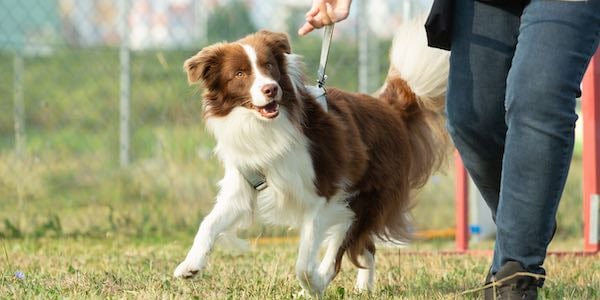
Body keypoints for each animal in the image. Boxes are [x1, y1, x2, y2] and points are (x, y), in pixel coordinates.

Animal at [173, 19, 450, 296]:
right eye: (239, 74)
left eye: (269, 66)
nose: (271, 89)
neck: (266, 126)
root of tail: (389, 108)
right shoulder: (243, 185)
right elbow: (208, 223)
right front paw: (190, 264)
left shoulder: (323, 195)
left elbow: (304, 262)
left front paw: (314, 283)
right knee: (365, 247)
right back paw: (362, 288)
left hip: (363, 199)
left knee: (344, 248)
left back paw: (321, 282)